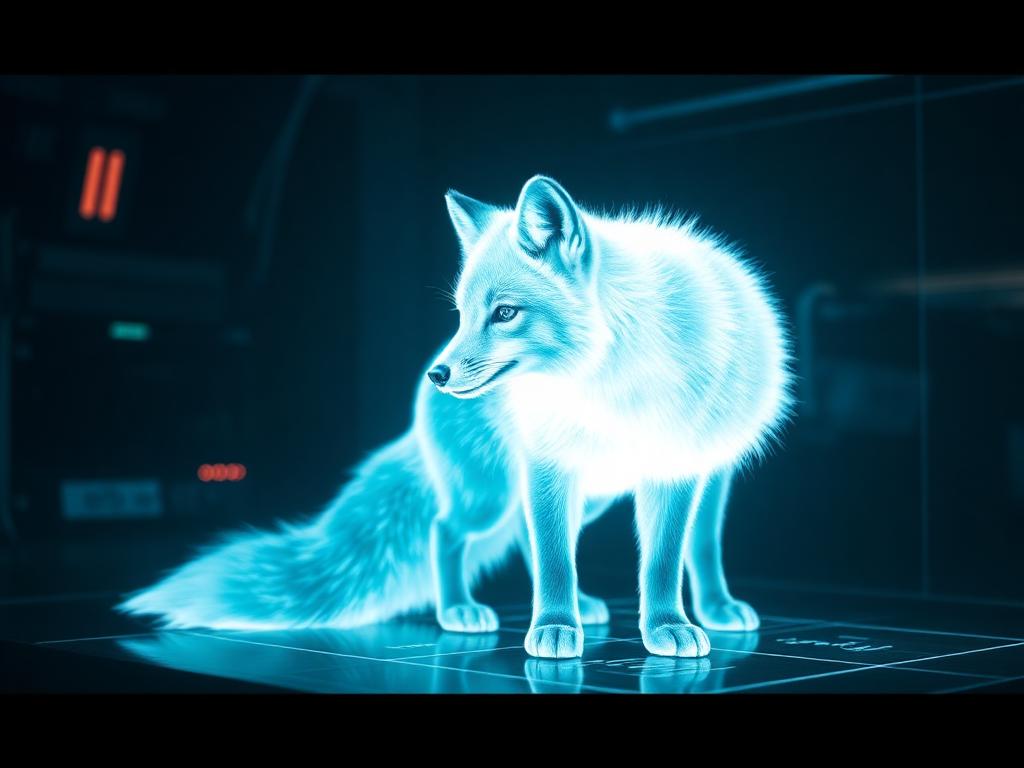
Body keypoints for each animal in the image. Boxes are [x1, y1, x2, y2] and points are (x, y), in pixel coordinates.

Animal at [118, 175, 793, 659]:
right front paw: (555, 629)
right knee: (450, 530)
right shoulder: (549, 462)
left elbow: (676, 556)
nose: (437, 376)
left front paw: (681, 620)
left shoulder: (687, 470)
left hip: (595, 489)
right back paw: (461, 611)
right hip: (493, 495)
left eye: (505, 313)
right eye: (464, 313)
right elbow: (555, 556)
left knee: (538, 537)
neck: (615, 386)